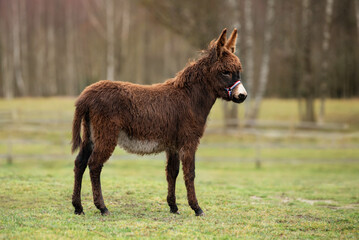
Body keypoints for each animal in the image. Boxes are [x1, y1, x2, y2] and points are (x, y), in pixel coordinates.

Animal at [72, 28, 248, 216]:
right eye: (226, 72)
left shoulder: (173, 145)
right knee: (94, 164)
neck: (190, 98)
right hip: (106, 135)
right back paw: (102, 207)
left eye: (239, 71)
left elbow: (172, 172)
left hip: (90, 134)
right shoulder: (189, 140)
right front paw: (196, 208)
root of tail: (86, 95)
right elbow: (190, 172)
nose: (242, 96)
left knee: (80, 163)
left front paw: (173, 206)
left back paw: (78, 207)